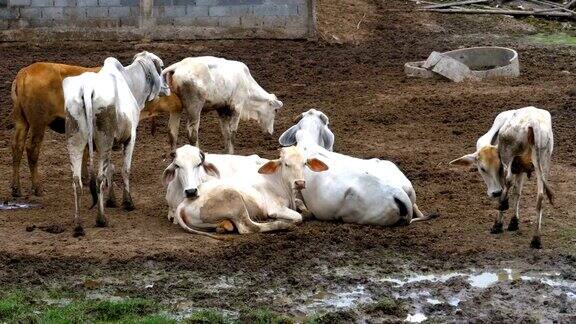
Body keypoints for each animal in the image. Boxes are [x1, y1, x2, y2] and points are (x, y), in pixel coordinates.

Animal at [65, 52, 170, 237]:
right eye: (162, 66)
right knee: (98, 179)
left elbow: (111, 169)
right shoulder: (130, 137)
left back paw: (78, 226)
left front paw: (111, 200)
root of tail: (87, 89)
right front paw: (127, 202)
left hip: (76, 142)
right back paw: (101, 219)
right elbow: (125, 169)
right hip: (103, 142)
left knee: (77, 182)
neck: (130, 81)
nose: (167, 87)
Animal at [174, 146, 328, 239]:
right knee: (249, 227)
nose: (300, 183)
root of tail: (183, 203)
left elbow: (304, 206)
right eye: (286, 164)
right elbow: (298, 216)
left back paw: (224, 227)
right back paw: (282, 224)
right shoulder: (275, 208)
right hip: (234, 199)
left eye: (305, 163)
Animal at [450, 106, 552, 248]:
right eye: (482, 169)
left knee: (508, 182)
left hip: (509, 156)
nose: (495, 192)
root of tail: (534, 123)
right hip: (543, 163)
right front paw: (514, 222)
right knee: (540, 196)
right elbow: (517, 192)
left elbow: (507, 188)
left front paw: (501, 222)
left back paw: (499, 217)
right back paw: (536, 239)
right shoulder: (519, 169)